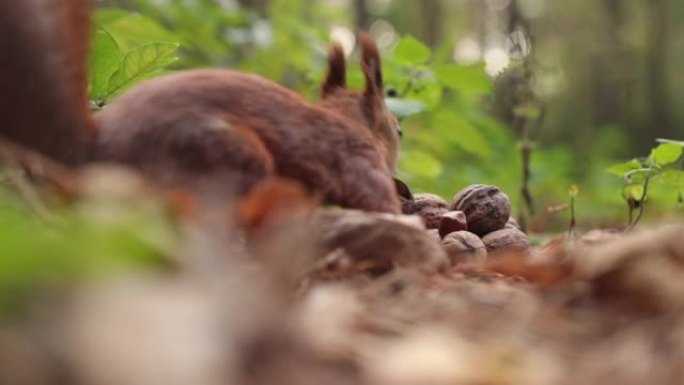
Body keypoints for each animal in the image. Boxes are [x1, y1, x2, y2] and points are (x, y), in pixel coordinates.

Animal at [0, 0, 404, 213]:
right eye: (398, 131)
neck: (347, 120)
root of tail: (91, 156)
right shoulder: (360, 165)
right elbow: (381, 205)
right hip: (223, 153)